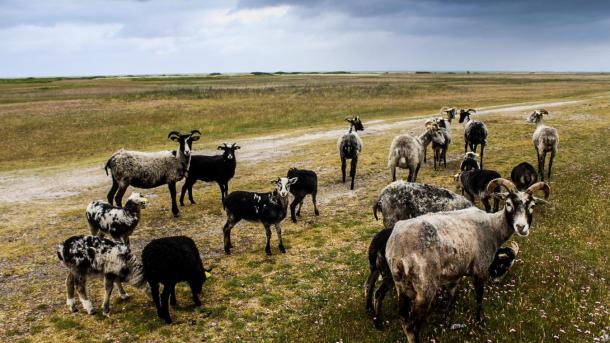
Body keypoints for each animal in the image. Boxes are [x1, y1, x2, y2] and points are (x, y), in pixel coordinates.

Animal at [384, 180, 552, 343]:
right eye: (508, 203)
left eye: (532, 206)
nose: (521, 227)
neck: (493, 227)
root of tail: (399, 250)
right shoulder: (480, 269)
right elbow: (479, 298)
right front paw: (479, 322)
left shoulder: (455, 272)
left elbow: (451, 296)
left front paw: (445, 318)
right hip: (425, 287)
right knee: (412, 326)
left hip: (402, 285)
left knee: (404, 320)